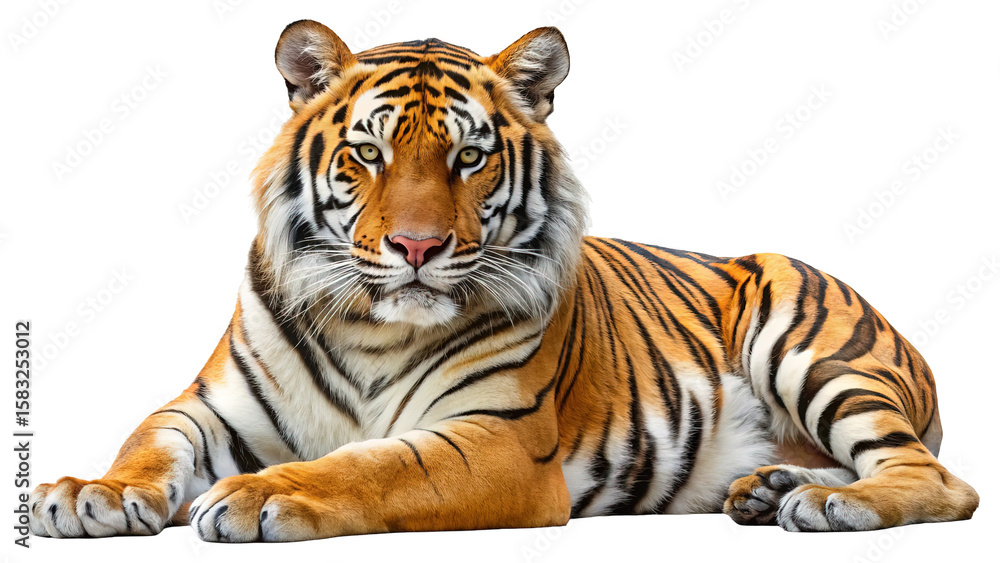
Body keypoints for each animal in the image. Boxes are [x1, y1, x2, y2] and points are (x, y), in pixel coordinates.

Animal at [29, 20, 978, 542]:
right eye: (368, 153)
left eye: (469, 157)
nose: (416, 246)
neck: (372, 322)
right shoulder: (209, 405)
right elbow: (148, 440)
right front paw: (87, 494)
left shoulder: (498, 438)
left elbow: (373, 466)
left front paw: (265, 492)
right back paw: (775, 488)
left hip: (814, 349)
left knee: (941, 478)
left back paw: (824, 506)